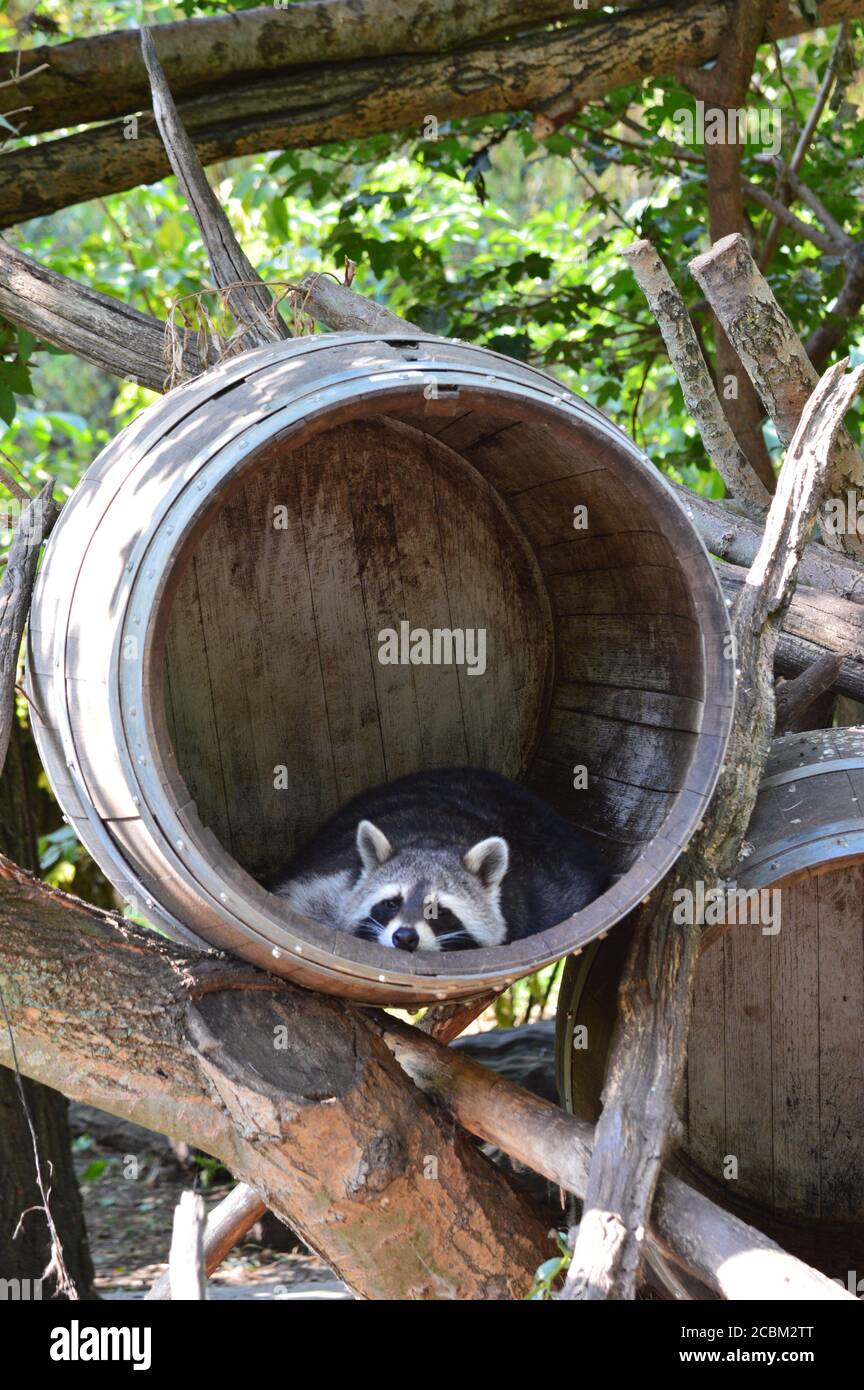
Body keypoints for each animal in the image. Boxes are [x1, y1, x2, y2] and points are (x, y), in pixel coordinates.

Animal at [268, 767, 613, 950]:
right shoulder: (329, 882)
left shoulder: (547, 900)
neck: (434, 840)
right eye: (391, 903)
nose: (405, 938)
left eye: (439, 911)